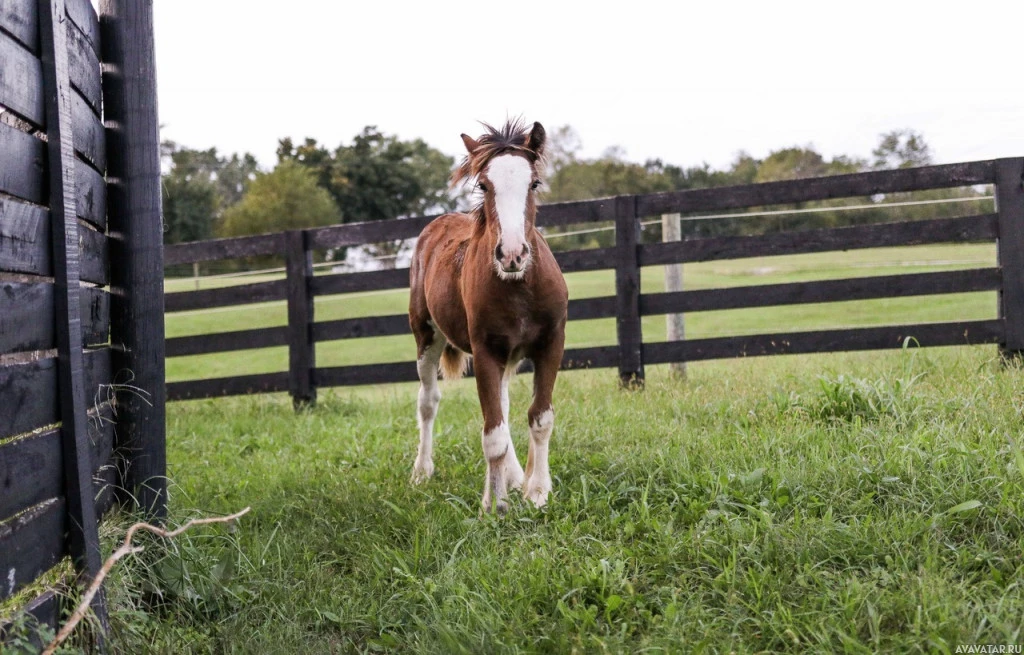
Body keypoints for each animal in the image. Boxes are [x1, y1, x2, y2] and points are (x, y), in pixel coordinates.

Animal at [405, 120, 569, 513]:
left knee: (506, 407)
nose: (512, 254)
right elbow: (493, 434)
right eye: (483, 184)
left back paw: (515, 476)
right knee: (428, 401)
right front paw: (494, 505)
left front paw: (536, 491)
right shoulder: (484, 352)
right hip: (426, 336)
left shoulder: (551, 343)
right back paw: (421, 471)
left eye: (534, 183)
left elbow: (539, 418)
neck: (519, 288)